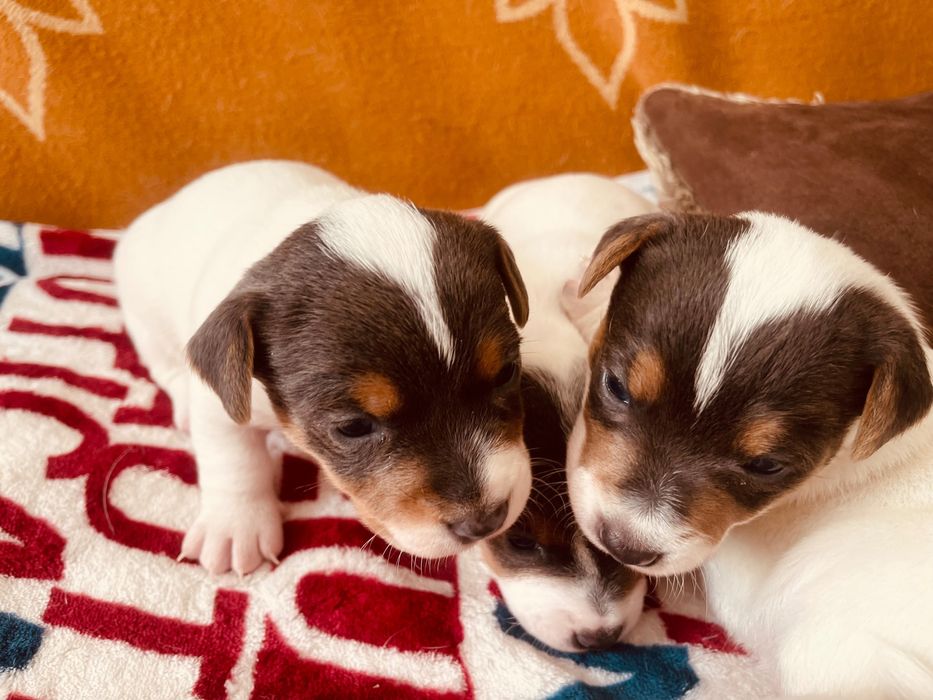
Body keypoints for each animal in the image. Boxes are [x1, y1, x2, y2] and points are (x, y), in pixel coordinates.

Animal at [114, 160, 533, 575]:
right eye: (353, 427)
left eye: (507, 373)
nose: (485, 522)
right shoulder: (224, 402)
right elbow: (234, 458)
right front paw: (236, 527)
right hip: (143, 310)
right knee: (164, 362)